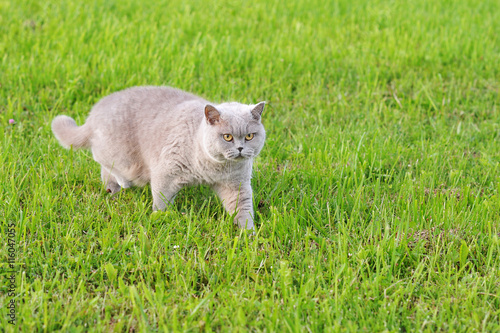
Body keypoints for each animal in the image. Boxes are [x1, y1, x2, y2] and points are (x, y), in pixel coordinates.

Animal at [51, 86, 266, 228]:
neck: (214, 168)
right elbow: (161, 199)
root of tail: (92, 115)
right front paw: (160, 217)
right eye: (227, 136)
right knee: (104, 163)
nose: (240, 148)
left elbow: (242, 207)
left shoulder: (236, 184)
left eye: (249, 136)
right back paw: (119, 185)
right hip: (124, 159)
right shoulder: (167, 172)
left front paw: (248, 235)